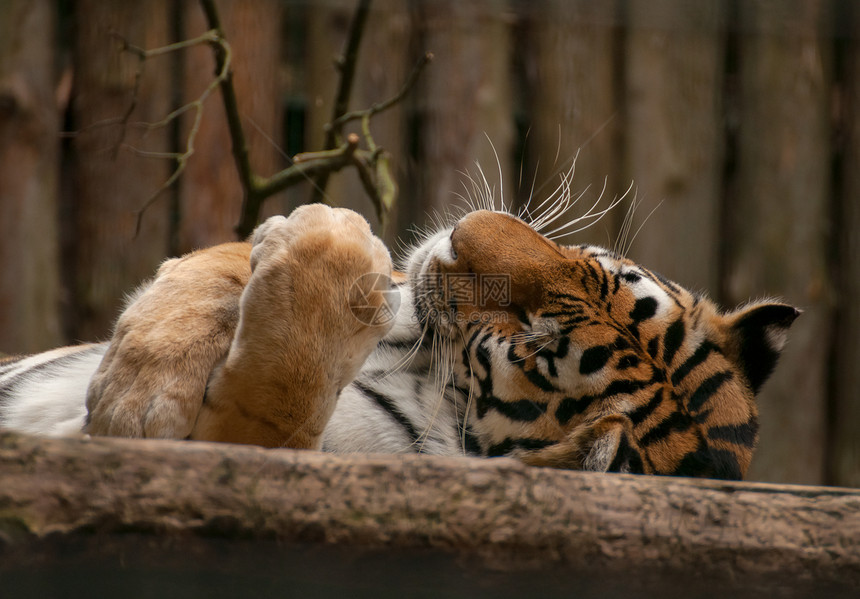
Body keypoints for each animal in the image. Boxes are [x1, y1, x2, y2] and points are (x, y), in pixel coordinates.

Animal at [0, 198, 800, 482]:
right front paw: (140, 388)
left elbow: (279, 396)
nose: (464, 234)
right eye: (598, 269)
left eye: (538, 343)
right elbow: (209, 272)